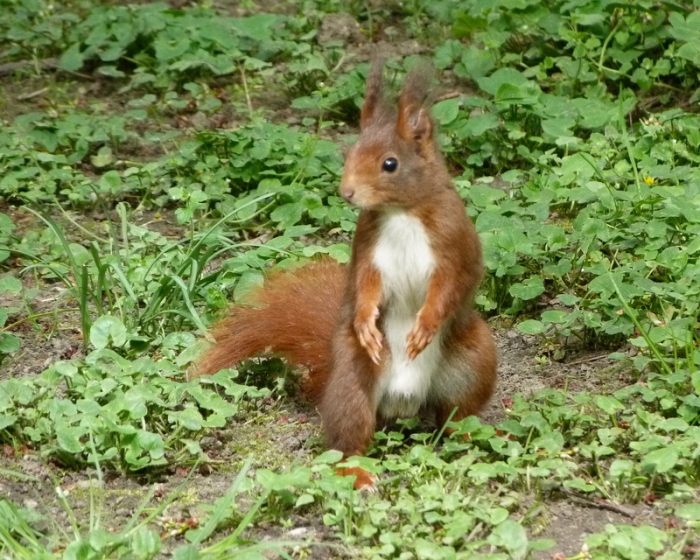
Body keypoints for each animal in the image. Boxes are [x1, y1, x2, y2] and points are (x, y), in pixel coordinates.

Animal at [193, 60, 497, 491]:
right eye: (350, 151)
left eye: (390, 163)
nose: (347, 192)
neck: (401, 212)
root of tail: (404, 403)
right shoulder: (369, 250)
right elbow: (366, 286)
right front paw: (365, 322)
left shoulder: (454, 246)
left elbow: (448, 288)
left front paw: (425, 324)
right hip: (353, 382)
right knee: (348, 441)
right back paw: (358, 472)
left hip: (472, 362)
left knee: (456, 418)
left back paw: (476, 436)